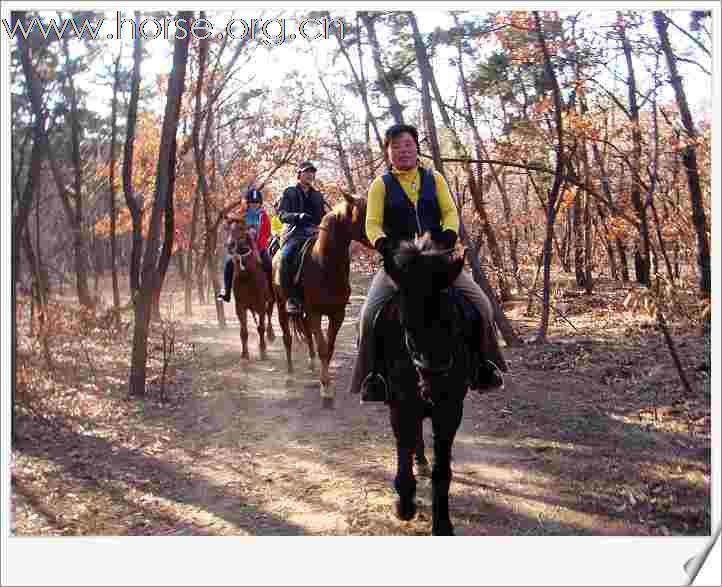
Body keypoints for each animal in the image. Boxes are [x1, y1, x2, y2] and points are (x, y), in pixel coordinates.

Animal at [232, 226, 274, 360]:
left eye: (246, 248)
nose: (237, 259)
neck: (247, 277)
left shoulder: (261, 303)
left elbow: (261, 327)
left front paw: (263, 351)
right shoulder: (240, 305)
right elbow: (244, 331)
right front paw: (245, 354)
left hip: (271, 300)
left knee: (269, 314)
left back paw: (271, 335)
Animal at [272, 195, 368, 406]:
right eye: (362, 213)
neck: (324, 264)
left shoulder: (337, 314)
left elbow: (328, 348)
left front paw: (325, 383)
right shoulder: (315, 313)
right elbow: (323, 347)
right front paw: (326, 390)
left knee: (307, 335)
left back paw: (311, 364)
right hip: (282, 305)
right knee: (287, 337)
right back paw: (290, 376)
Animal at [374, 232, 476, 536]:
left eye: (452, 320)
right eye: (407, 325)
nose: (435, 388)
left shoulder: (451, 409)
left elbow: (442, 471)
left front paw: (442, 523)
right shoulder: (400, 405)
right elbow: (403, 448)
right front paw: (405, 504)